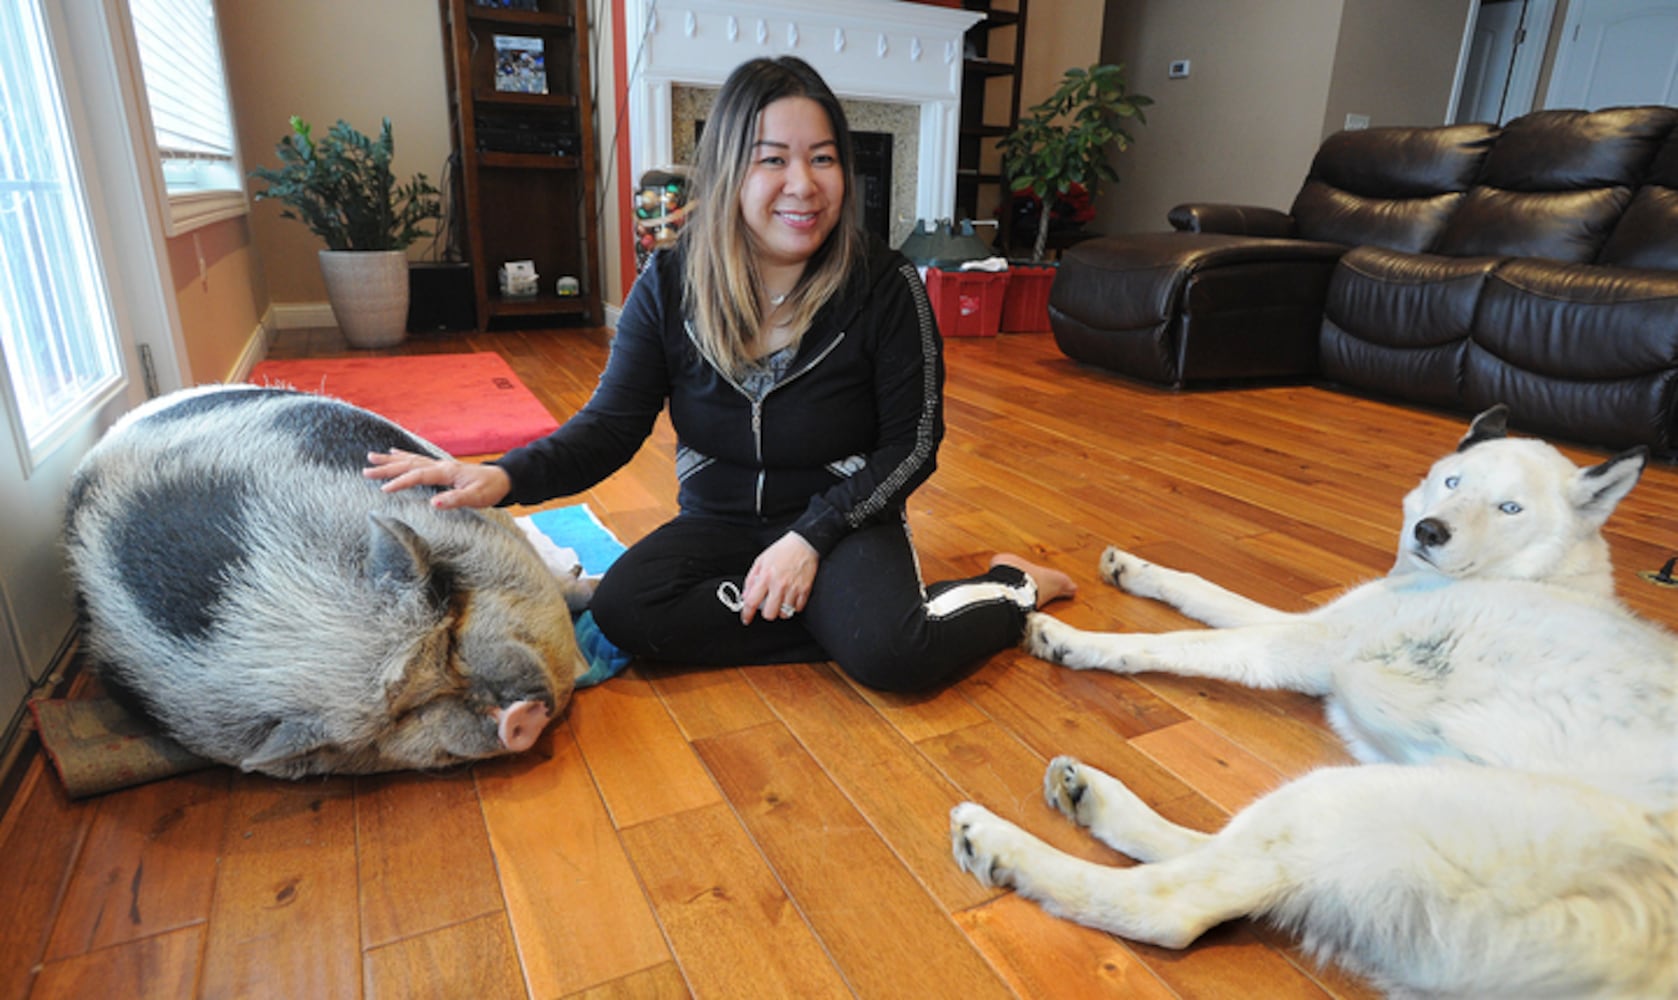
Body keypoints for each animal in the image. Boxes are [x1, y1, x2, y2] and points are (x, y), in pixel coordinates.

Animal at [953, 407, 1671, 1000]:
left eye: (1510, 508)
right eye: (1452, 481)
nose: (1429, 531)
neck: (1540, 576)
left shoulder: (1302, 645)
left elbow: (1181, 641)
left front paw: (1077, 641)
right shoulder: (1313, 631)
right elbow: (1205, 592)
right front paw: (1137, 570)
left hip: (1365, 801)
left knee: (1178, 905)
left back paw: (1004, 845)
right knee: (1226, 859)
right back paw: (1091, 801)